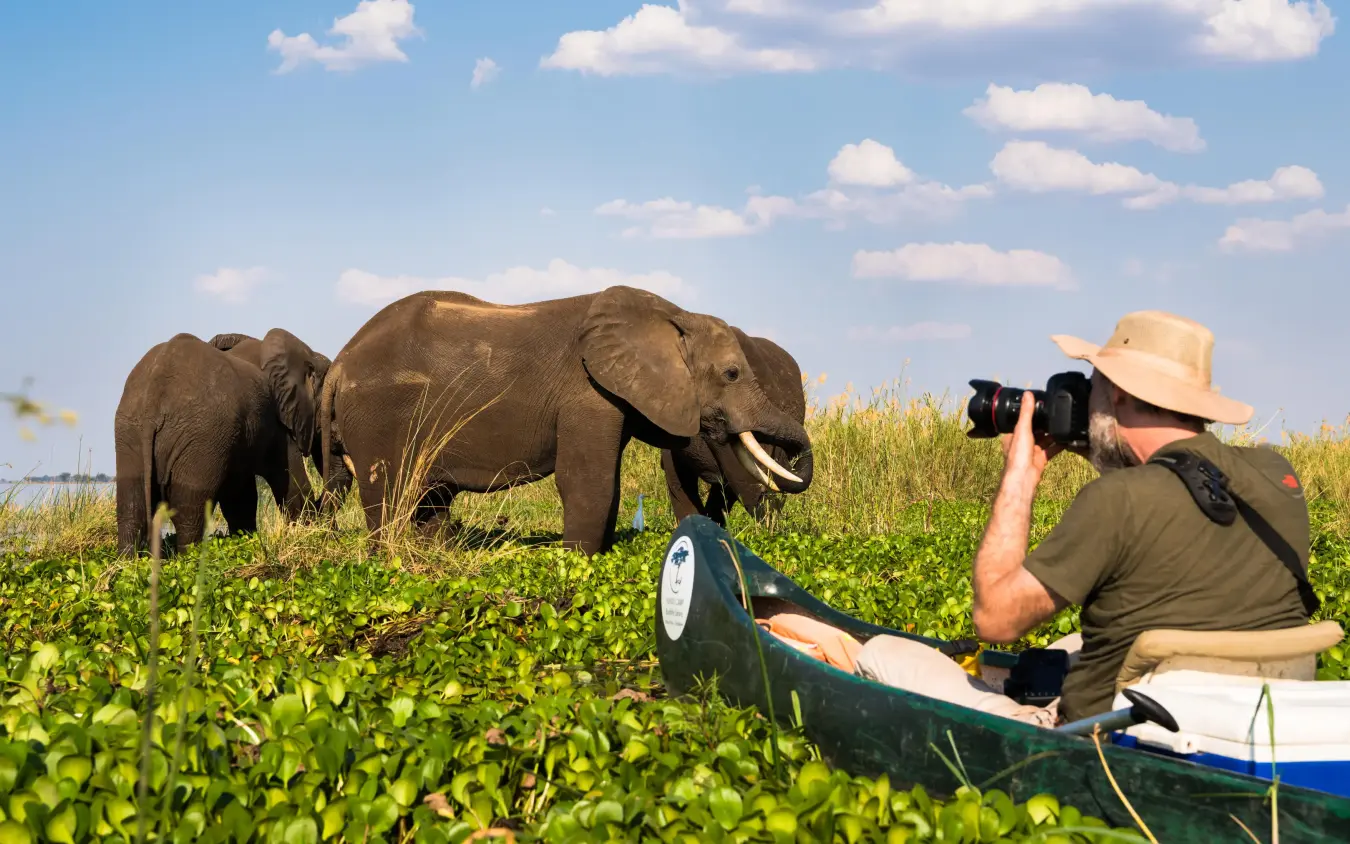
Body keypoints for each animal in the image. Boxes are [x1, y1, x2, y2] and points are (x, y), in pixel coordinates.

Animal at [113, 328, 330, 557]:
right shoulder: (279, 425)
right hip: (201, 434)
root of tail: (154, 398)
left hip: (130, 430)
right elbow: (294, 485)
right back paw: (188, 559)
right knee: (189, 513)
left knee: (131, 509)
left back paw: (127, 562)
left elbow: (239, 498)